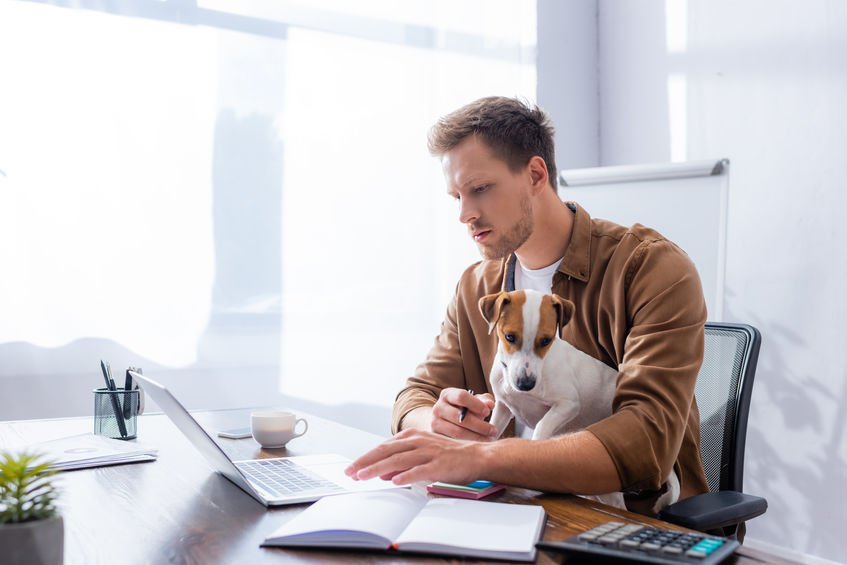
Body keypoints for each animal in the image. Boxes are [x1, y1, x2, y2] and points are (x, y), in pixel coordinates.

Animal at [476, 288, 684, 512]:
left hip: (608, 487)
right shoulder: (503, 407)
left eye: (546, 341)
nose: (525, 384)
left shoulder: (568, 404)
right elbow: (493, 430)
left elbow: (542, 425)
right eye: (510, 337)